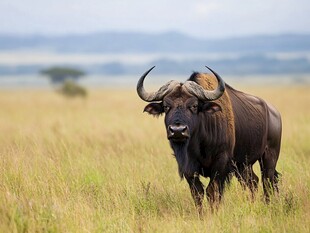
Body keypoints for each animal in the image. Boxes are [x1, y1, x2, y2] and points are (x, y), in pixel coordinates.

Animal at [137, 66, 282, 211]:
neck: (199, 143)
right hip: (243, 166)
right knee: (253, 182)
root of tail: (273, 112)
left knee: (267, 182)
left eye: (194, 106)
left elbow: (213, 191)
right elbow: (197, 193)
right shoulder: (188, 167)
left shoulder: (221, 163)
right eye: (166, 106)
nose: (178, 130)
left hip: (269, 158)